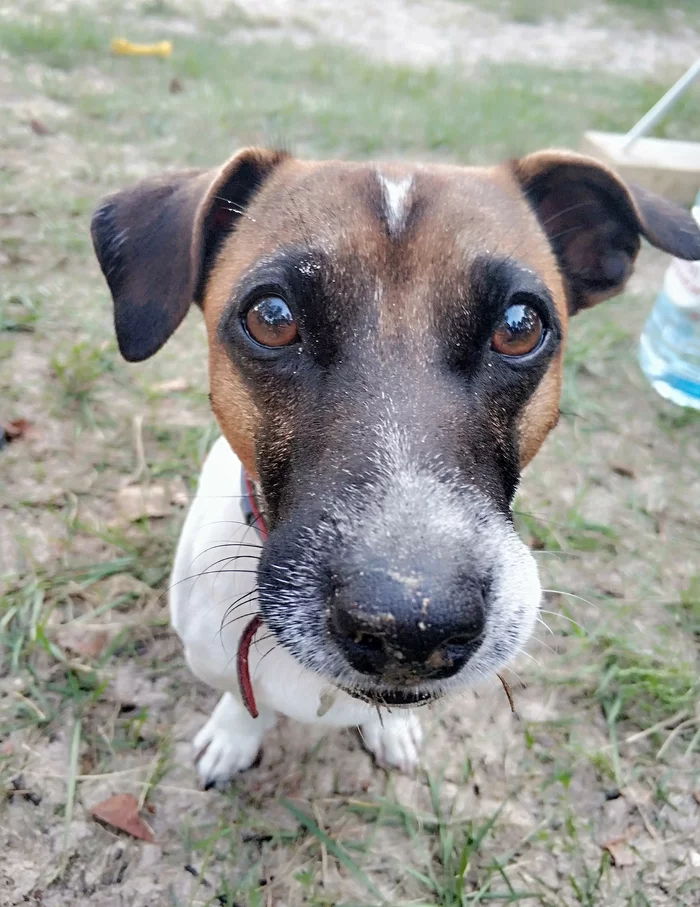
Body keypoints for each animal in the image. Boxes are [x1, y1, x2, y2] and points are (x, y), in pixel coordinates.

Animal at [91, 149, 700, 788]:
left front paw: (392, 731)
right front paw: (235, 736)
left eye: (520, 327)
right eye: (271, 317)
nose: (411, 626)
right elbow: (241, 696)